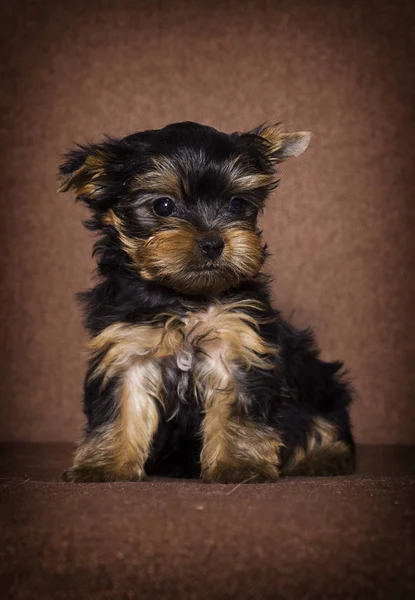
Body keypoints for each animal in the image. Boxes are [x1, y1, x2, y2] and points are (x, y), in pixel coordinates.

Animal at [60, 120, 356, 482]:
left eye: (237, 204)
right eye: (163, 206)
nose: (213, 243)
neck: (184, 298)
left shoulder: (238, 344)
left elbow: (238, 411)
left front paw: (239, 465)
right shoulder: (127, 346)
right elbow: (121, 407)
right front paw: (104, 467)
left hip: (318, 381)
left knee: (322, 419)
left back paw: (323, 457)